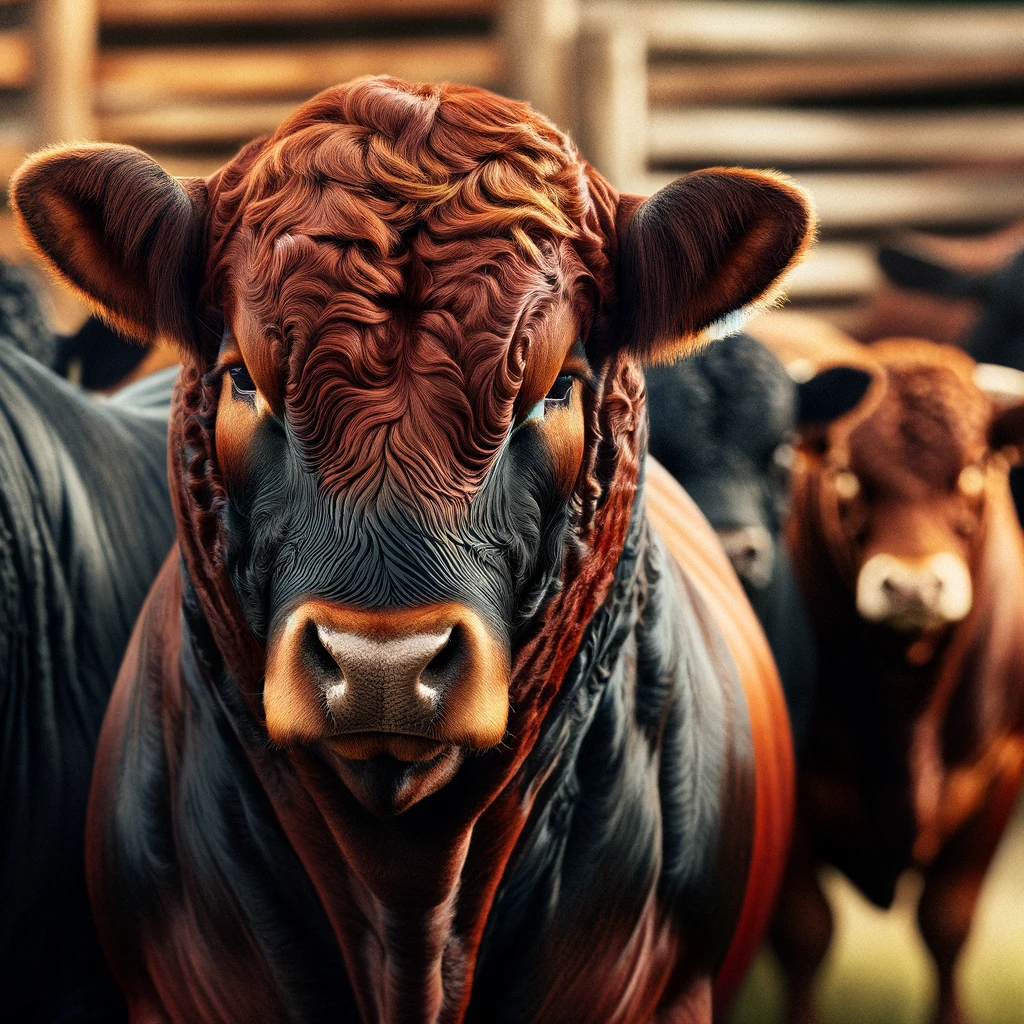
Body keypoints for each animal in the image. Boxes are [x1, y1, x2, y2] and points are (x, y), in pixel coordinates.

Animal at [765, 327, 1024, 1024]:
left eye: (972, 470)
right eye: (846, 476)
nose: (912, 587)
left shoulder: (1001, 770)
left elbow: (947, 924)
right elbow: (804, 931)